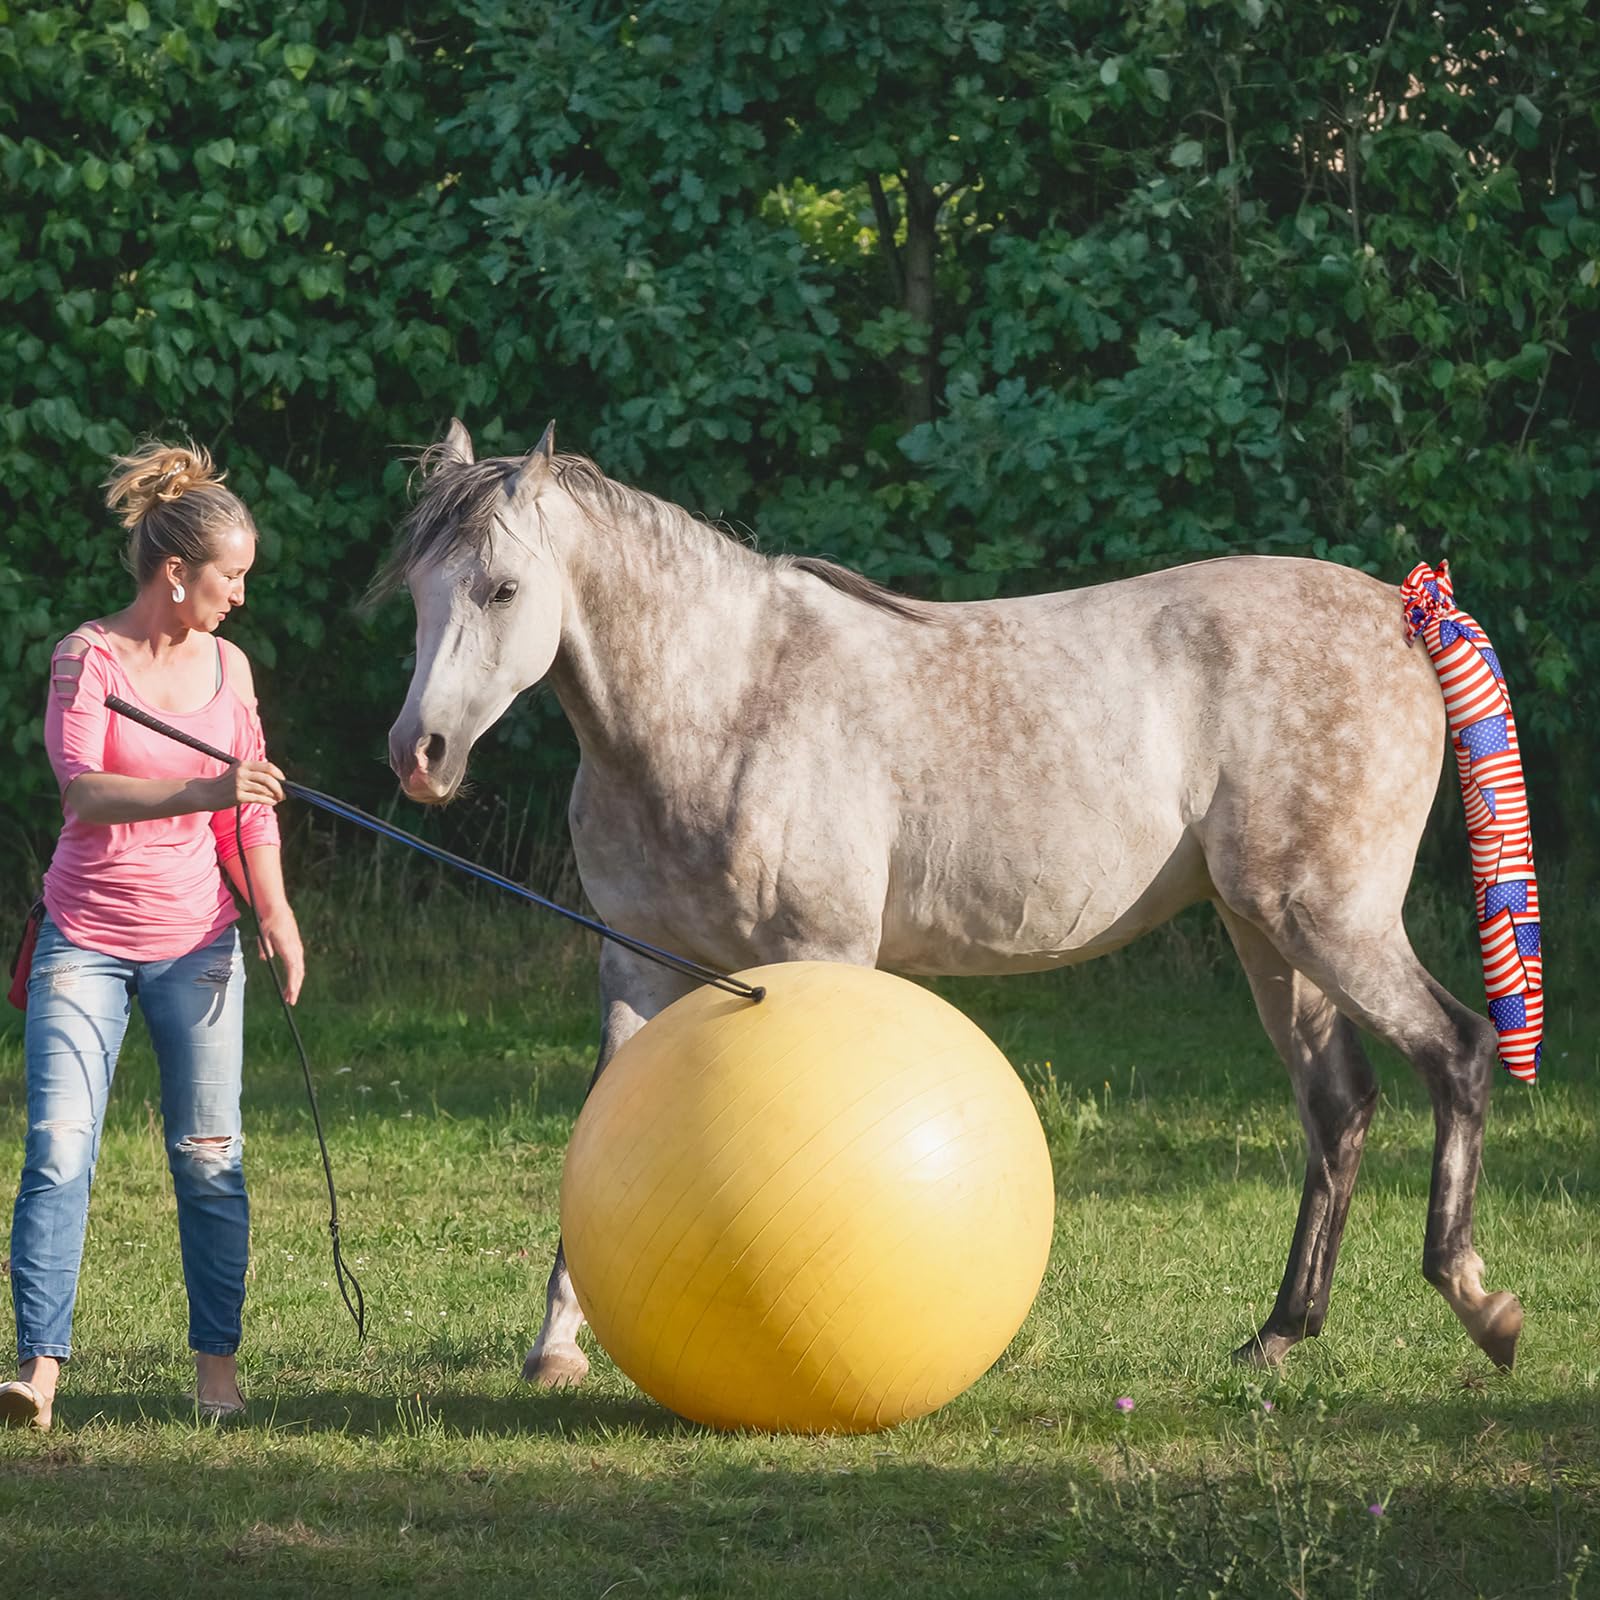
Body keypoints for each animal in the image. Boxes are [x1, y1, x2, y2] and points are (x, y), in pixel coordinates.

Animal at [376, 418, 1525, 1389]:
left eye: (502, 590)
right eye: (418, 592)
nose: (418, 755)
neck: (724, 704)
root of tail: (1399, 609)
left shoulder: (820, 952)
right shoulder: (636, 963)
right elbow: (594, 1130)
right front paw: (556, 1349)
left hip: (1329, 922)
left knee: (1458, 1052)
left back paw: (1480, 1305)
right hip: (1268, 932)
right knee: (1338, 1104)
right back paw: (1278, 1335)